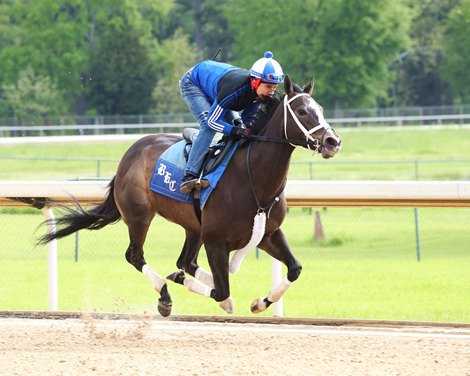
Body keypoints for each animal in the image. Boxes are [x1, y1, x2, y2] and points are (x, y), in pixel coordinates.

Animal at [38, 76, 342, 318]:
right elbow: (221, 291)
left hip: (193, 226)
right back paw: (165, 294)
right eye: (302, 111)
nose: (333, 142)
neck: (252, 176)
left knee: (186, 262)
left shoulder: (268, 232)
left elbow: (294, 268)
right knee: (136, 256)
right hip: (139, 217)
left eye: (320, 109)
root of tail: (131, 151)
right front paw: (216, 293)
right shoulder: (215, 240)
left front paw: (260, 302)